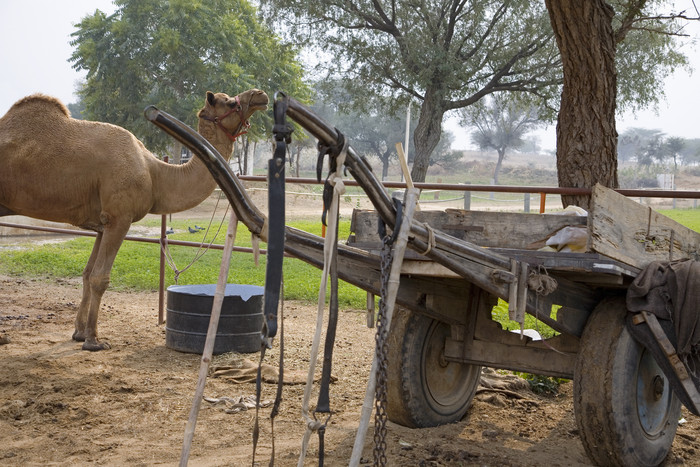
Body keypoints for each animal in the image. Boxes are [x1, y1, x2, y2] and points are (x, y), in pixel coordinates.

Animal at [0, 88, 270, 352]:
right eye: (231, 102)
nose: (261, 95)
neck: (155, 173)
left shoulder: (102, 223)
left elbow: (87, 274)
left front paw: (79, 333)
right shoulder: (120, 217)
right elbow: (100, 278)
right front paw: (93, 340)